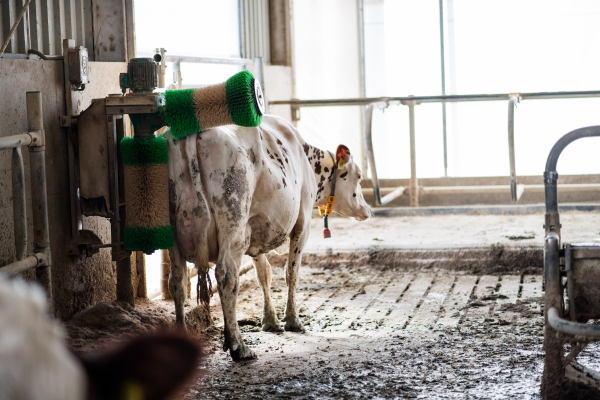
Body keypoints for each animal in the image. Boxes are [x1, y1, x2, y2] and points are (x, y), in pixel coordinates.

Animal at [165, 114, 370, 360]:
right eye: (358, 176)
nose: (368, 210)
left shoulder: (254, 231)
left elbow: (264, 274)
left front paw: (270, 320)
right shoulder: (302, 223)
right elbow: (291, 272)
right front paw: (292, 320)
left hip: (175, 233)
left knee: (177, 280)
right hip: (233, 222)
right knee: (226, 276)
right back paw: (238, 345)